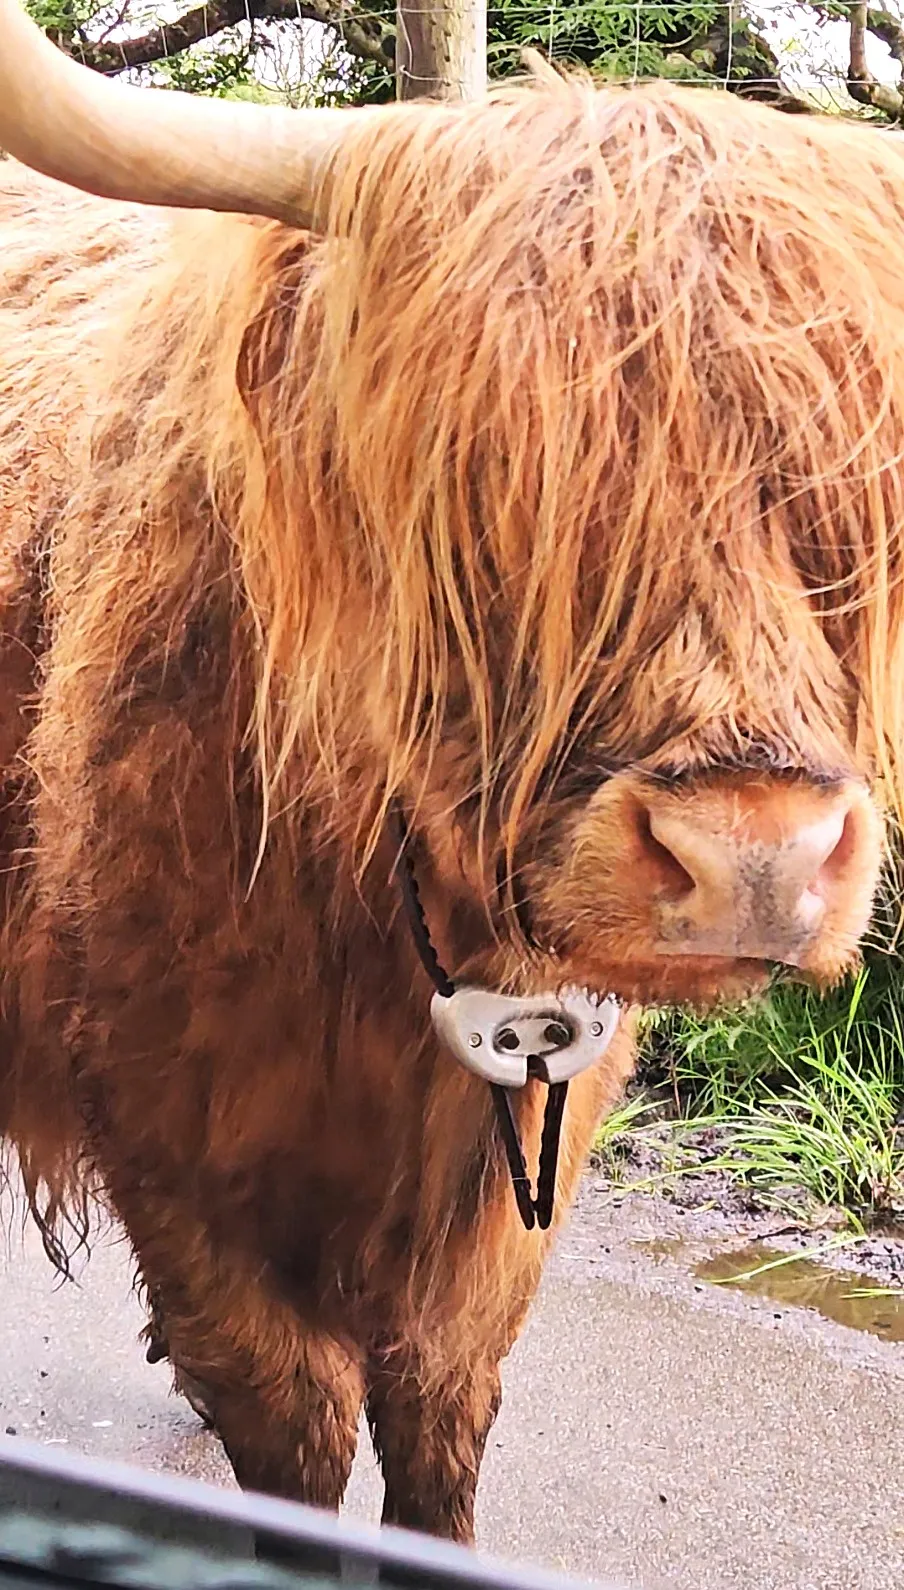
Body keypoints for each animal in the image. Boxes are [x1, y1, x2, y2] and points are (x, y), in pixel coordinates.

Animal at [0, 0, 902, 1543]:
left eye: (848, 496)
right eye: (486, 485)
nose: (755, 857)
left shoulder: (521, 1172)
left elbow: (440, 1405)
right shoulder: (171, 1152)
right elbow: (297, 1424)